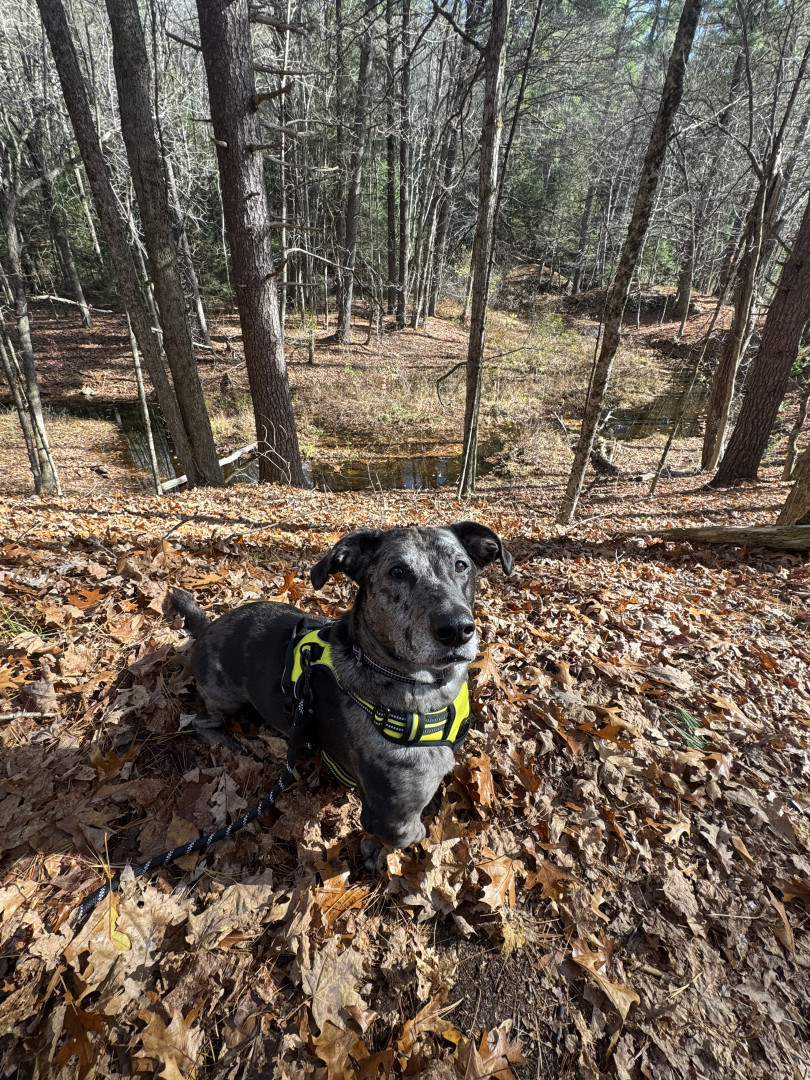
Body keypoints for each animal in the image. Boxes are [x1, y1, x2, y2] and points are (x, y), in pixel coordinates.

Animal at [169, 522, 512, 851]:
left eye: (460, 565)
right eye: (397, 571)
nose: (456, 629)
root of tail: (207, 626)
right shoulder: (393, 822)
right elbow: (413, 835)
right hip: (223, 696)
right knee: (199, 721)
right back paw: (225, 740)